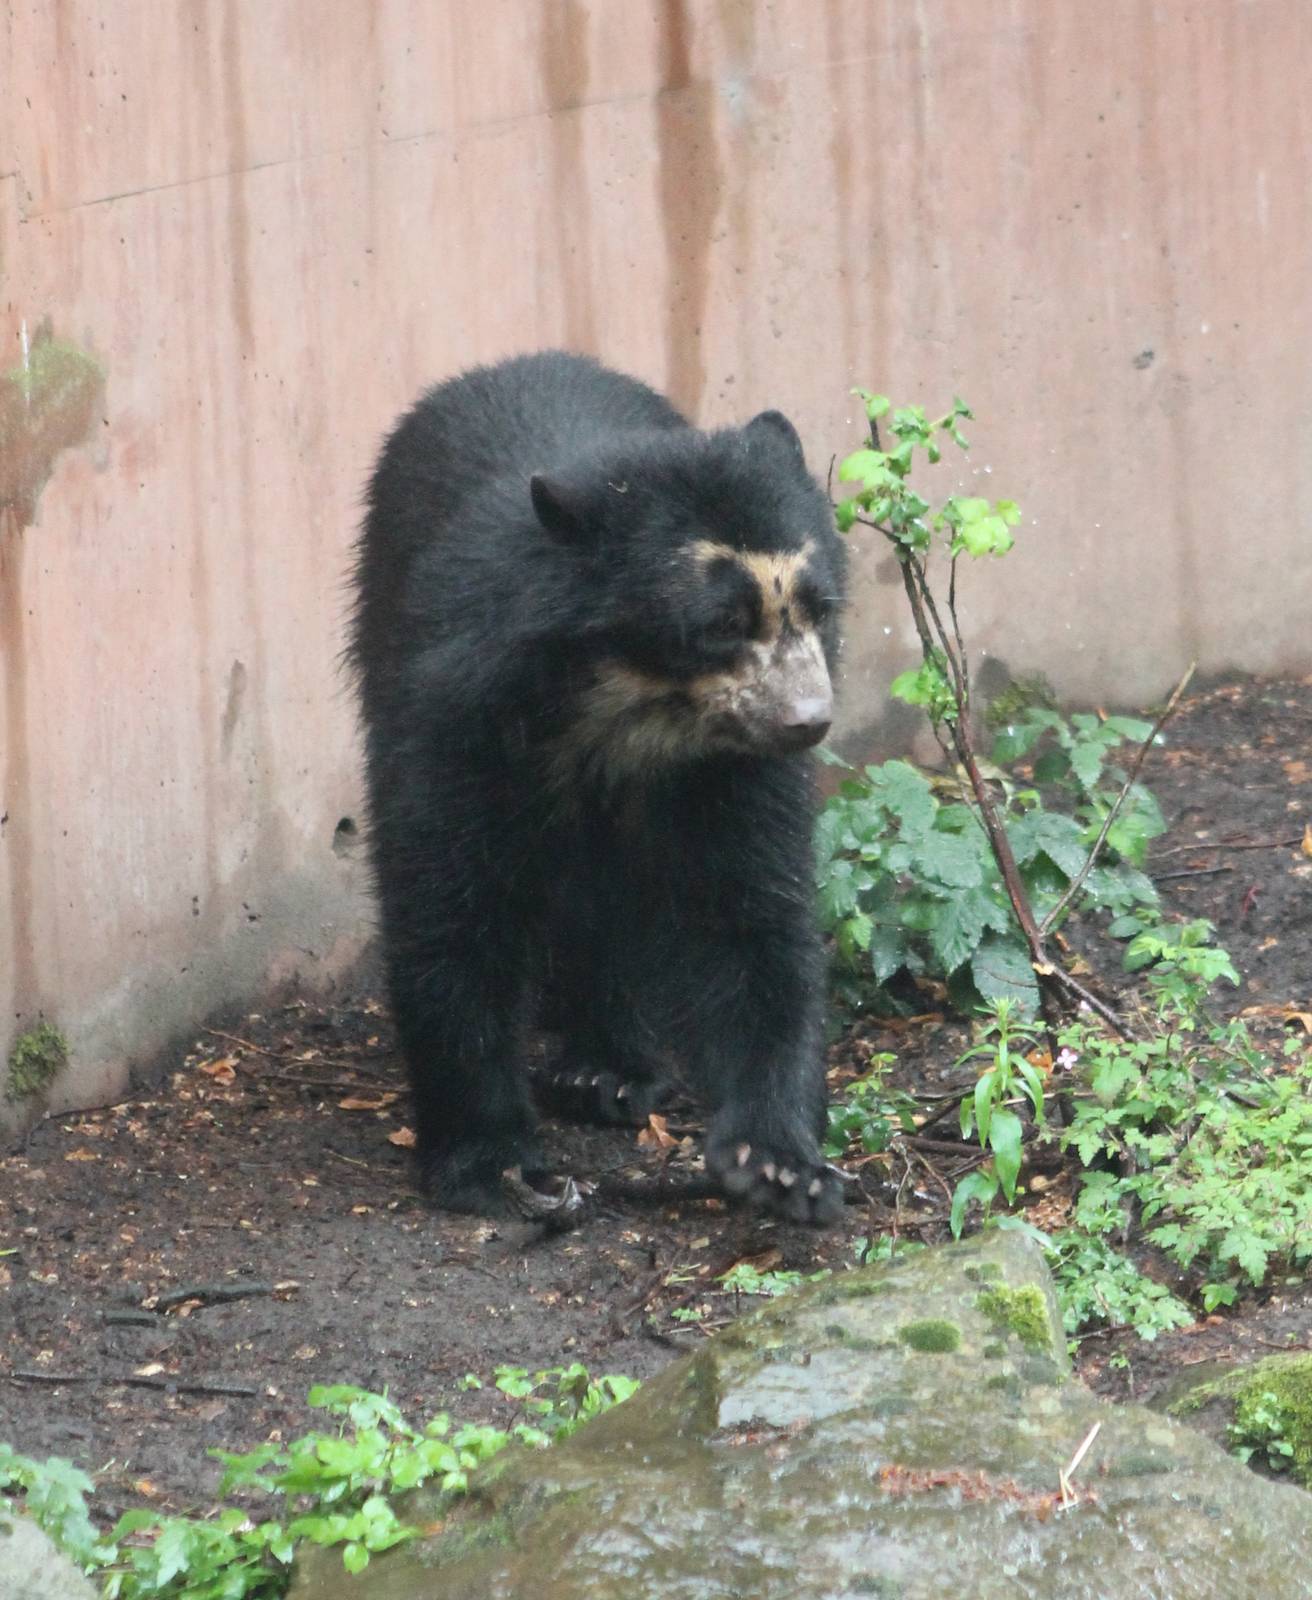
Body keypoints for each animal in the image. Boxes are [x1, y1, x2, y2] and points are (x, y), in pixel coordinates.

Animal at [349, 351, 847, 1224]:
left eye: (818, 608)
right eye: (723, 624)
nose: (808, 722)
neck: (625, 709)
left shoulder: (728, 770)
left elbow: (748, 913)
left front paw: (779, 1162)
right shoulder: (458, 716)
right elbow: (452, 906)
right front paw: (492, 1162)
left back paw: (607, 1070)